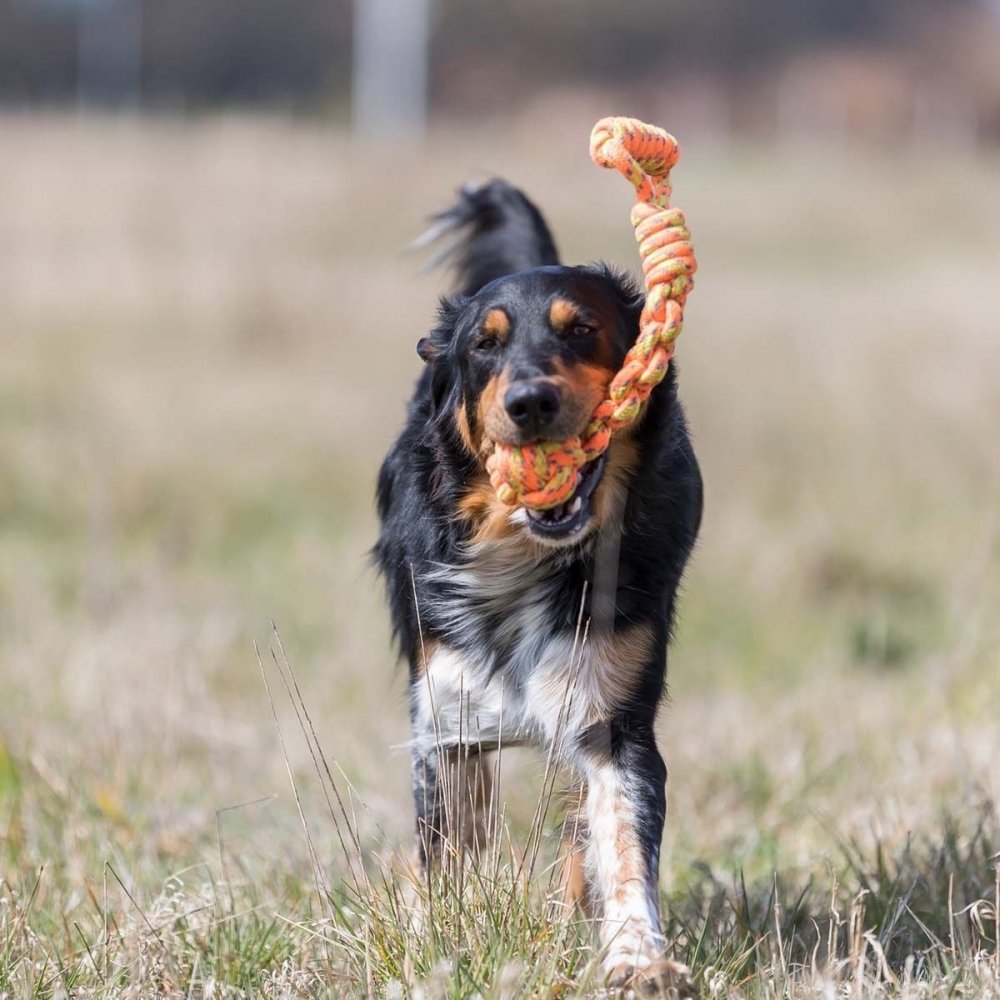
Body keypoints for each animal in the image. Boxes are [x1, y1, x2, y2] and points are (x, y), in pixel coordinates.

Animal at [376, 180, 704, 992]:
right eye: (484, 345)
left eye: (581, 329)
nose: (530, 402)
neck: (526, 554)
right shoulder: (445, 715)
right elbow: (448, 856)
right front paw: (446, 942)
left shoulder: (611, 715)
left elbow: (619, 844)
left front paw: (637, 960)